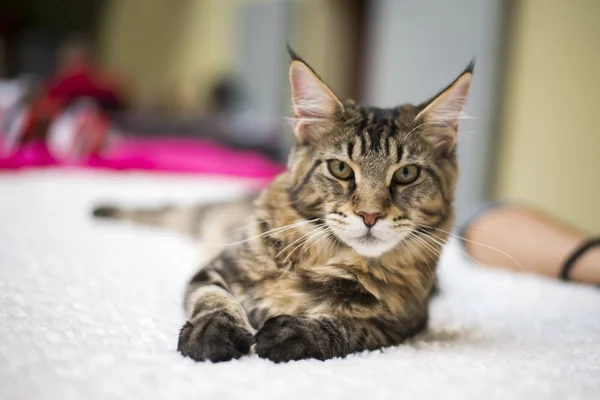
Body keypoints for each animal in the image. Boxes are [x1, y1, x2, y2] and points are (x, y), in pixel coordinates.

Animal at [95, 47, 474, 362]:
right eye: (340, 169)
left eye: (407, 174)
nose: (370, 215)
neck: (328, 257)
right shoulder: (215, 269)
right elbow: (213, 301)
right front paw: (213, 333)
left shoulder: (402, 324)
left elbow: (347, 327)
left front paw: (291, 333)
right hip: (198, 217)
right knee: (164, 211)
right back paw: (101, 209)